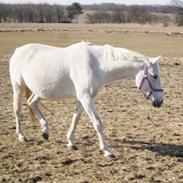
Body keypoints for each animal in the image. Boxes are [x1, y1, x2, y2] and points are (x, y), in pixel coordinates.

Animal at [9, 41, 164, 157]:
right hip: (18, 86)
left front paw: (70, 142)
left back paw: (45, 131)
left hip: (39, 91)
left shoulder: (82, 99)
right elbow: (97, 123)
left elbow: (75, 119)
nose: (160, 101)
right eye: (155, 76)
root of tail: (18, 51)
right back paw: (21, 136)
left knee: (32, 103)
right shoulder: (86, 98)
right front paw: (107, 151)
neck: (96, 65)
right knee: (17, 109)